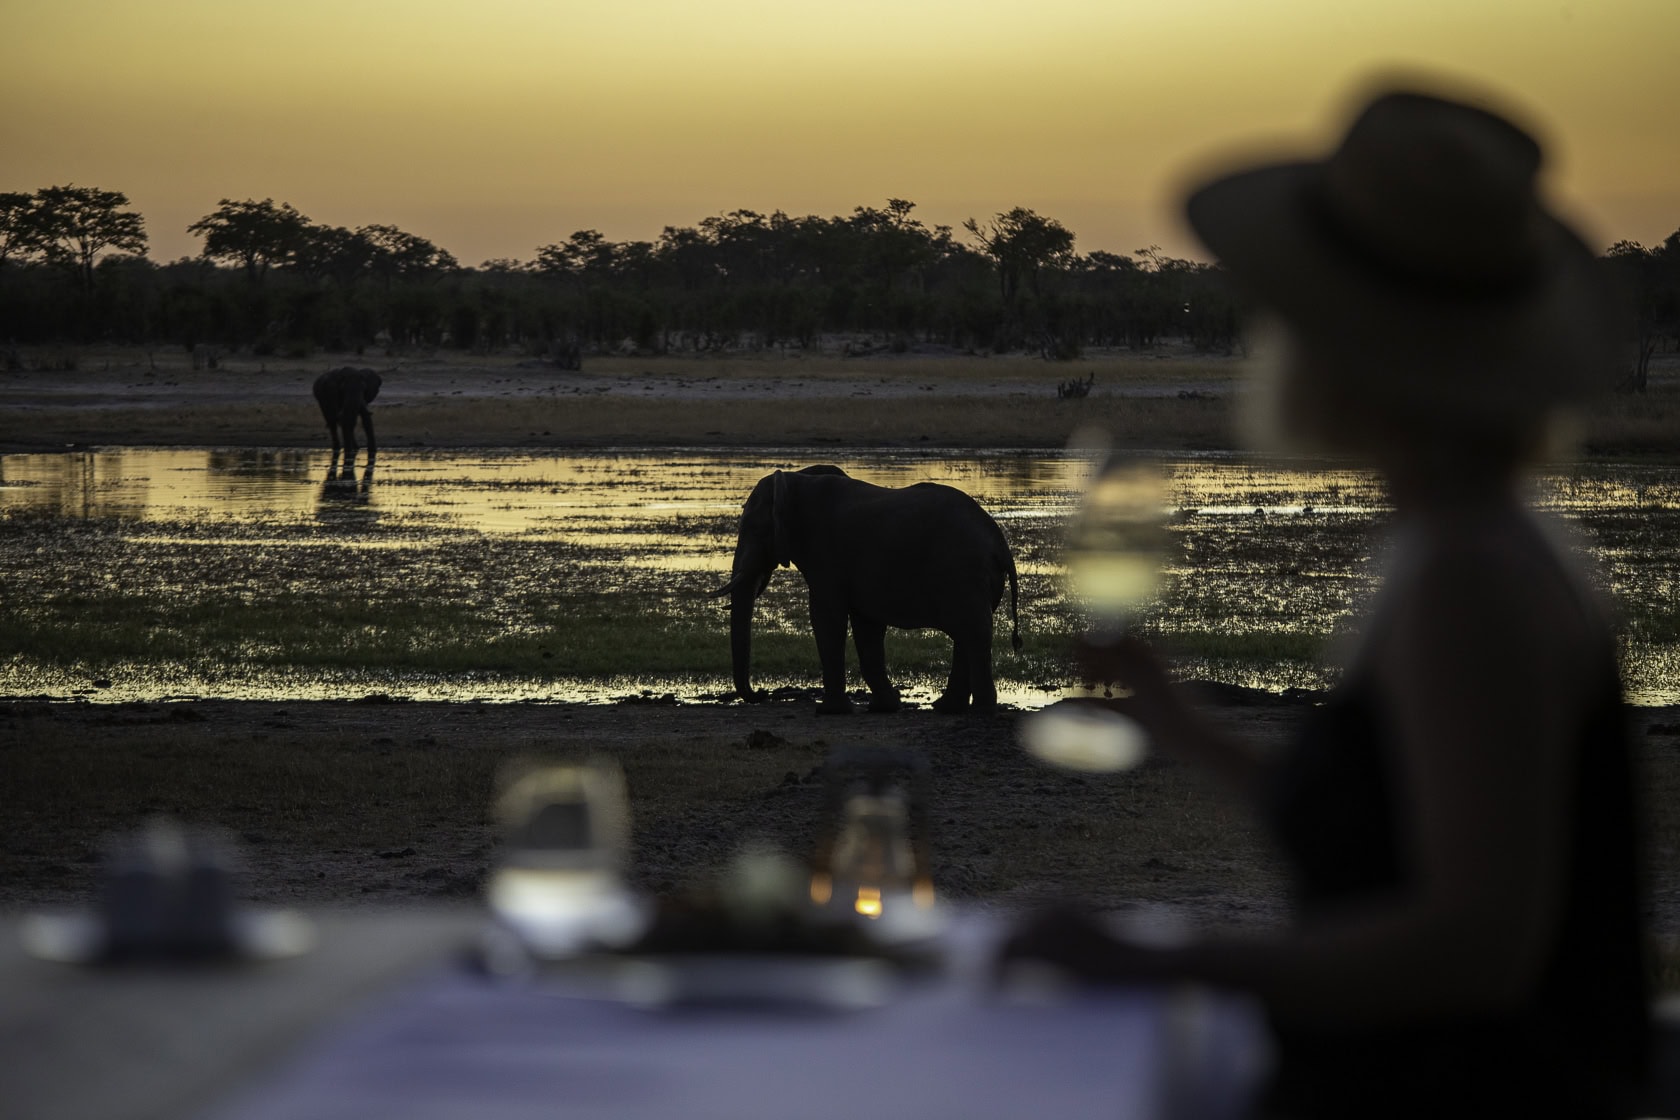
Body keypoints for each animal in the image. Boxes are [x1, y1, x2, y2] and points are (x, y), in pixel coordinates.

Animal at [713, 465, 1022, 715]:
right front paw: (884, 707)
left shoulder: (826, 555)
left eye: (752, 528)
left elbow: (827, 619)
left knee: (973, 632)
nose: (761, 694)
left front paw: (829, 712)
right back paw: (947, 708)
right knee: (966, 634)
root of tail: (1000, 544)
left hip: (964, 572)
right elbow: (866, 627)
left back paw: (980, 712)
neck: (796, 480)